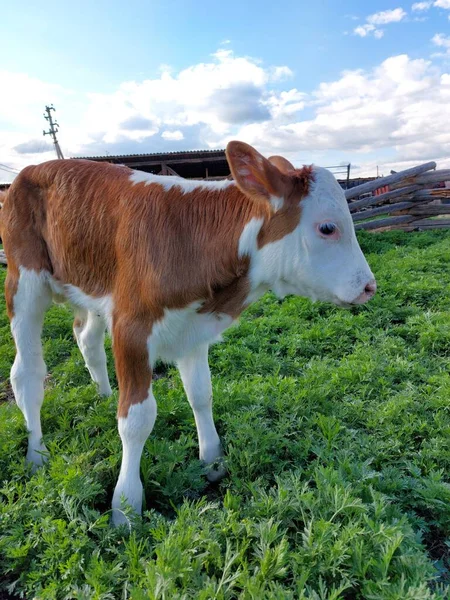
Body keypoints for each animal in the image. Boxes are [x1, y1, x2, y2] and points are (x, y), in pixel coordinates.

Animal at [0, 142, 376, 524]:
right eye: (327, 227)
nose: (369, 287)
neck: (190, 242)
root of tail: (34, 169)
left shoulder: (192, 328)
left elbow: (201, 394)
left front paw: (212, 460)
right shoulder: (131, 328)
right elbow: (136, 419)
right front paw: (125, 507)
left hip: (89, 283)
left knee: (87, 339)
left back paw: (104, 394)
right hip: (23, 280)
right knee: (26, 373)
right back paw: (36, 453)